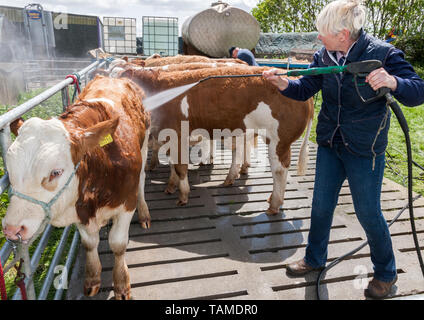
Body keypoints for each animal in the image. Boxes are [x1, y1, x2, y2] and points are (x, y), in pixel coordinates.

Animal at [1, 75, 151, 300]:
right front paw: (92, 278)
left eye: (56, 172)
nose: (12, 229)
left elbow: (118, 245)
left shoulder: (126, 204)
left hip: (146, 143)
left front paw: (121, 283)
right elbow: (90, 243)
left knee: (142, 180)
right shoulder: (78, 208)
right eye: (10, 170)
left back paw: (144, 213)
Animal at [121, 66, 314, 214]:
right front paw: (170, 186)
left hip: (279, 140)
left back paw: (274, 204)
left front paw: (183, 196)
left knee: (279, 170)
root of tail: (293, 77)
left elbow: (180, 167)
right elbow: (173, 164)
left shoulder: (177, 135)